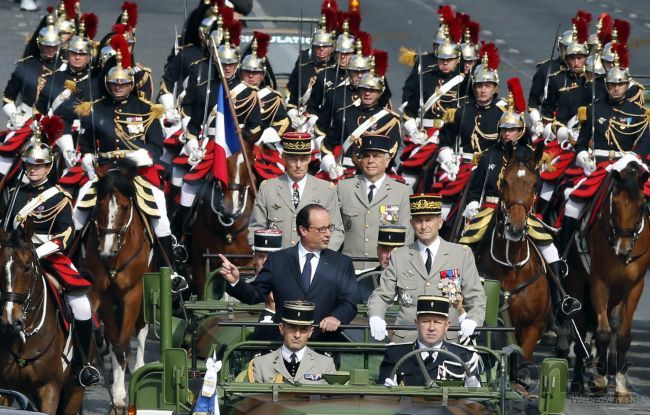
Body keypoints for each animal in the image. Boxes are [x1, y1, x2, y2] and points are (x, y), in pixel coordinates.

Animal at [82, 161, 149, 412]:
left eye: (124, 206)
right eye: (98, 205)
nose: (106, 251)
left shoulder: (133, 293)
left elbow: (122, 345)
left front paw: (120, 398)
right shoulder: (103, 294)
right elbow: (113, 341)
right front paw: (116, 392)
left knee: (141, 327)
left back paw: (139, 366)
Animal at [572, 160, 648, 396]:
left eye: (641, 205)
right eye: (614, 203)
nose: (622, 249)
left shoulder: (635, 285)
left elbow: (622, 335)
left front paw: (619, 379)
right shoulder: (599, 281)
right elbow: (603, 332)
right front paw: (600, 379)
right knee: (580, 326)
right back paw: (579, 379)